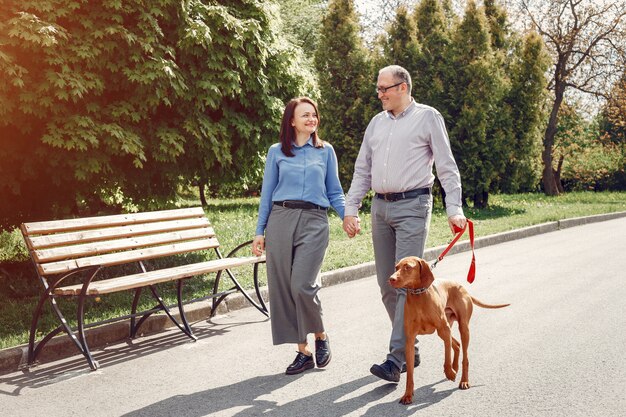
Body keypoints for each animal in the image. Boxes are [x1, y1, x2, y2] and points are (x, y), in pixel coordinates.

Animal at [388, 254, 510, 404]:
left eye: (408, 267)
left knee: (465, 357)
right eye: (396, 267)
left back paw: (463, 380)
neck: (419, 296)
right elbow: (410, 373)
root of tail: (462, 287)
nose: (391, 279)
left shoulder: (444, 330)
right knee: (456, 345)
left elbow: (446, 357)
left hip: (462, 328)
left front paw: (450, 373)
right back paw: (455, 367)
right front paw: (408, 395)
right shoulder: (410, 340)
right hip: (446, 330)